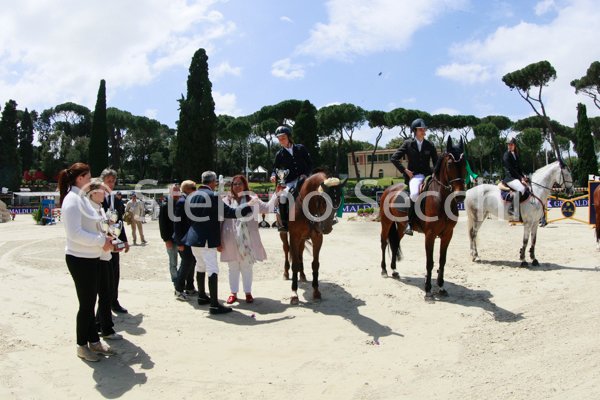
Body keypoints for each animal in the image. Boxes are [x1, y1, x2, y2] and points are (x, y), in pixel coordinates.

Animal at [278, 172, 347, 304]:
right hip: (284, 234)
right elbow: (294, 263)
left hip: (303, 239)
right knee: (286, 249)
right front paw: (294, 294)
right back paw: (286, 273)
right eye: (324, 201)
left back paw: (302, 275)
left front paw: (316, 292)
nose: (327, 228)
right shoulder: (294, 236)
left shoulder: (317, 237)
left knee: (300, 253)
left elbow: (315, 264)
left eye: (338, 202)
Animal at [380, 137, 467, 299]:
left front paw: (441, 287)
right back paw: (384, 270)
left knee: (395, 243)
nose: (460, 196)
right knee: (383, 243)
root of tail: (389, 189)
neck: (441, 198)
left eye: (465, 164)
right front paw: (428, 291)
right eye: (450, 164)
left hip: (401, 226)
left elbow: (442, 260)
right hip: (386, 223)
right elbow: (430, 262)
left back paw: (394, 270)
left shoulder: (447, 234)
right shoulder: (430, 235)